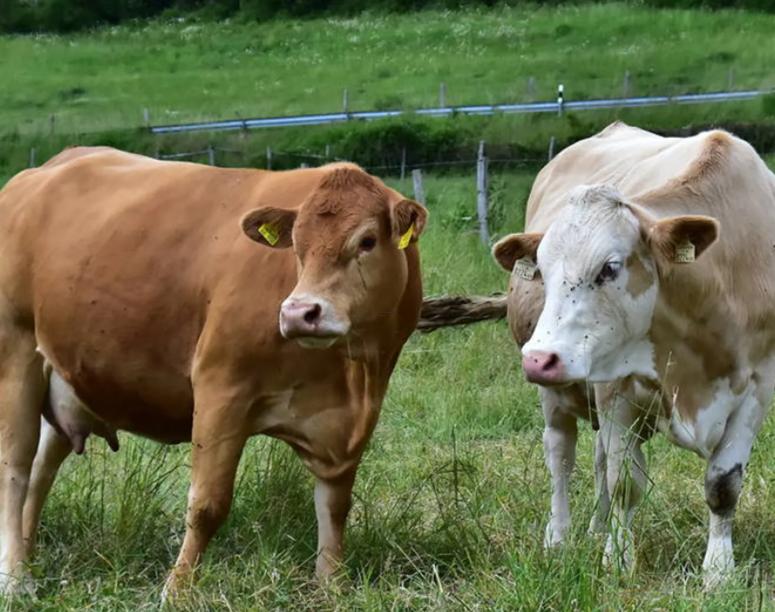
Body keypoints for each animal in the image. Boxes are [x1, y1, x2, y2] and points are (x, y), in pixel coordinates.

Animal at [0, 148, 428, 596]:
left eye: (367, 241)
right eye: (296, 245)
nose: (299, 313)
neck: (352, 375)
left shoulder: (348, 422)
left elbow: (335, 504)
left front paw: (330, 583)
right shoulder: (221, 388)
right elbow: (208, 503)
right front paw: (177, 589)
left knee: (41, 470)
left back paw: (28, 558)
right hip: (15, 350)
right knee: (15, 466)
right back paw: (14, 578)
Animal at [494, 122, 775, 584]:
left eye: (609, 268)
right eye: (543, 272)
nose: (538, 358)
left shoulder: (756, 388)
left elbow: (723, 485)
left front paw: (718, 570)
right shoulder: (616, 389)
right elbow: (623, 481)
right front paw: (618, 559)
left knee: (595, 460)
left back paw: (595, 528)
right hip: (557, 395)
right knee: (561, 457)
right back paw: (559, 538)